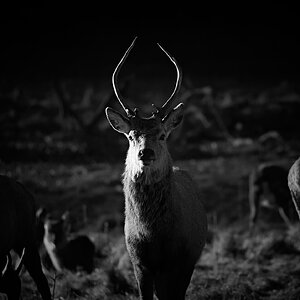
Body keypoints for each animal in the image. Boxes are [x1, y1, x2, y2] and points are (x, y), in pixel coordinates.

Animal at [105, 38, 209, 300]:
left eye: (162, 135)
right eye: (131, 136)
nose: (146, 153)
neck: (155, 235)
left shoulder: (184, 259)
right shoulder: (138, 261)